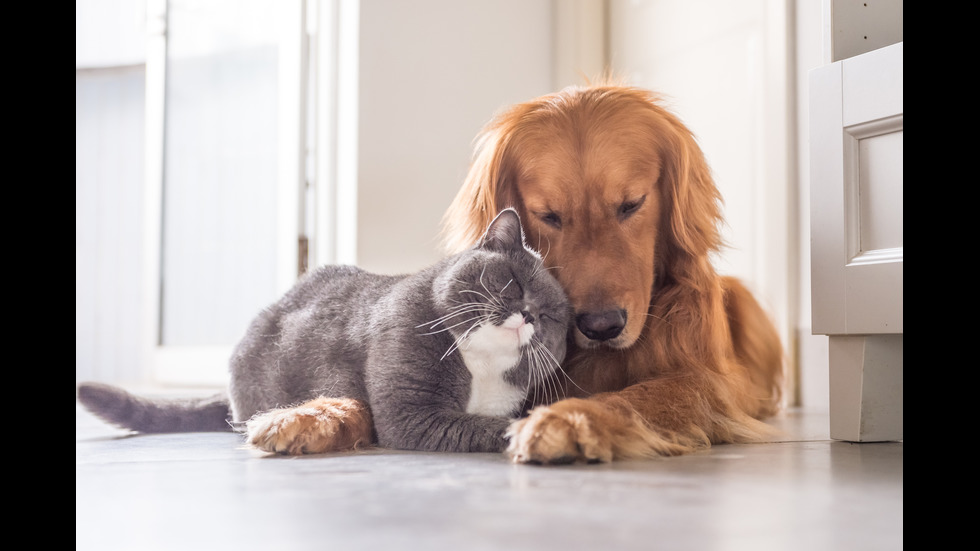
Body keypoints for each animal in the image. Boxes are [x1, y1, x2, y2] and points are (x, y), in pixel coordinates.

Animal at [76, 209, 572, 454]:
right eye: (514, 283)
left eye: (550, 316)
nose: (528, 314)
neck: (481, 367)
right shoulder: (411, 413)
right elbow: (484, 425)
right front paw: (535, 431)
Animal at [444, 82, 780, 464]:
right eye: (549, 216)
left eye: (631, 204)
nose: (601, 326)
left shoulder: (707, 380)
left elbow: (639, 396)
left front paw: (569, 419)